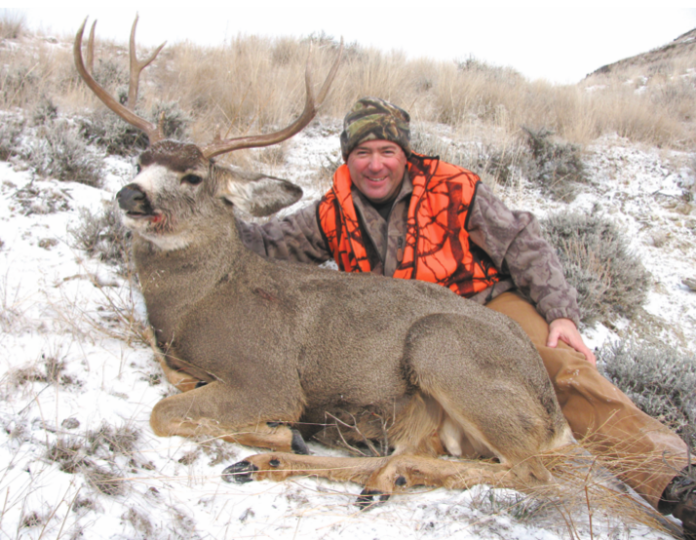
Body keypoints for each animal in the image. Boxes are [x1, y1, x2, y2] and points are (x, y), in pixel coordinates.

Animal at [74, 17, 577, 508]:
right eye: (141, 161)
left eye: (193, 177)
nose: (131, 194)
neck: (197, 301)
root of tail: (555, 420)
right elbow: (176, 383)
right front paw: (277, 438)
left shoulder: (268, 377)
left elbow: (163, 412)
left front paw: (277, 431)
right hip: (428, 416)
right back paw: (299, 468)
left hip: (442, 348)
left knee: (533, 475)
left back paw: (351, 467)